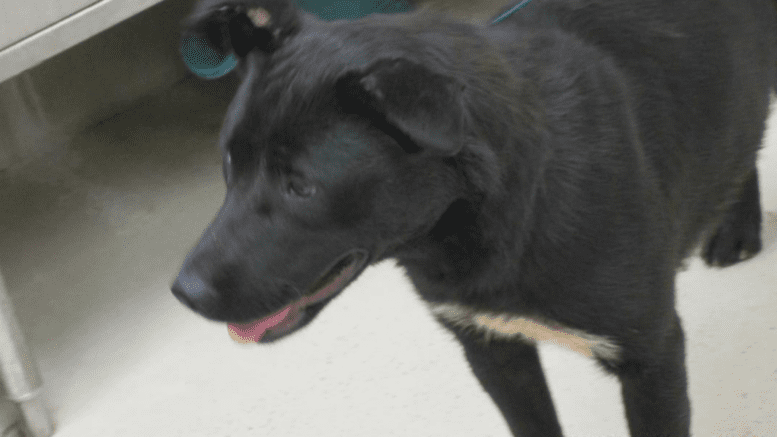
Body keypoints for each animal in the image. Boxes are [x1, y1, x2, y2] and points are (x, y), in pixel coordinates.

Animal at [171, 1, 776, 434]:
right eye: (230, 161)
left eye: (300, 187)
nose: (184, 294)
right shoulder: (492, 351)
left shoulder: (651, 358)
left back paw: (739, 228)